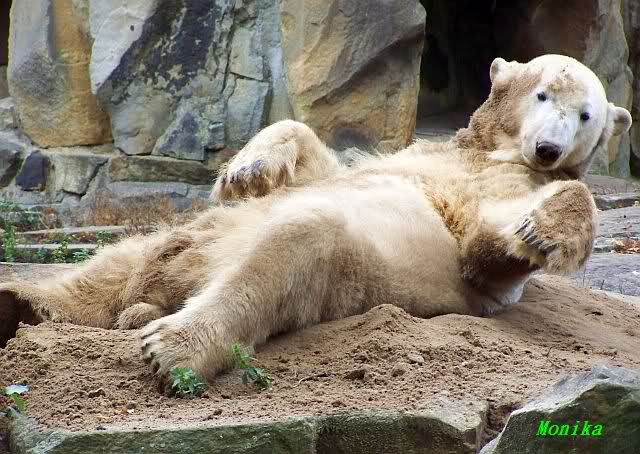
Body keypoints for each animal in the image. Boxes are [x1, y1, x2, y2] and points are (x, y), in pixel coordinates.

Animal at [0, 54, 632, 382]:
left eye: (586, 114)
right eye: (543, 94)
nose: (548, 149)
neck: (488, 153)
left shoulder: (497, 195)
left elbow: (489, 248)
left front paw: (542, 229)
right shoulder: (420, 153)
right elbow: (316, 155)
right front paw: (244, 171)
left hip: (351, 273)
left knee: (295, 246)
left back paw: (171, 343)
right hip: (195, 235)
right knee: (117, 261)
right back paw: (27, 301)